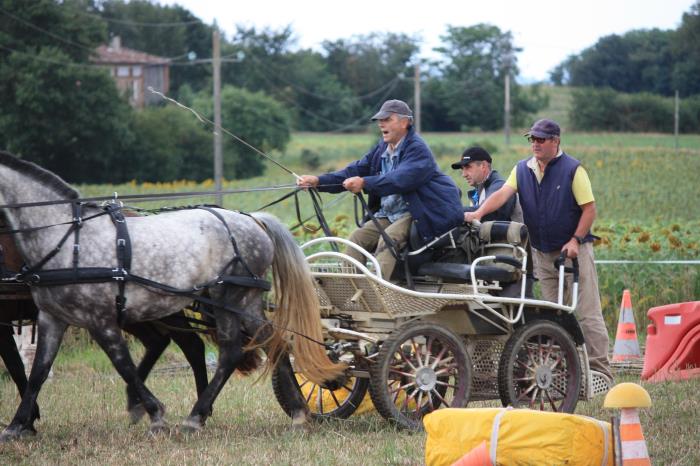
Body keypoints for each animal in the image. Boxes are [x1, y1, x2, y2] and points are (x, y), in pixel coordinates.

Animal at [0, 153, 342, 440]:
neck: (68, 240)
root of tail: (251, 219)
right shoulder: (52, 318)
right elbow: (37, 372)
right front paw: (17, 425)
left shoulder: (101, 320)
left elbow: (123, 365)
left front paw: (155, 414)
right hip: (239, 302)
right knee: (268, 342)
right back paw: (293, 413)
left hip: (230, 299)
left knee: (235, 350)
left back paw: (198, 417)